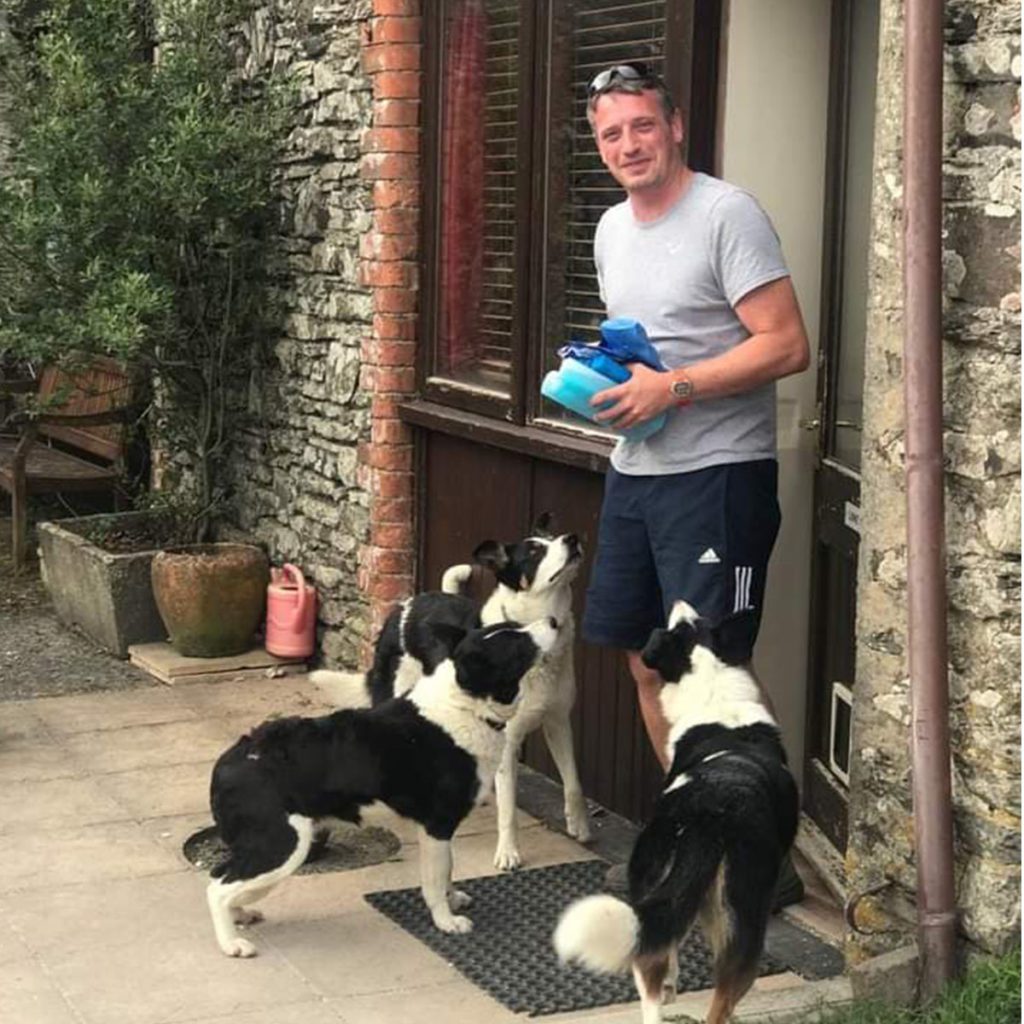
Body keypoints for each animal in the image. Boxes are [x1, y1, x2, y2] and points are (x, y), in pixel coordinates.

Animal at [205, 614, 561, 958]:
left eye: (513, 625)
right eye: (517, 644)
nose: (555, 621)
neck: (464, 705)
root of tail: (230, 761)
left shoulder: (439, 831)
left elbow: (447, 870)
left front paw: (452, 900)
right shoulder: (437, 826)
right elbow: (435, 880)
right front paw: (445, 921)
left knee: (223, 877)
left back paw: (239, 916)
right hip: (284, 844)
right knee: (217, 888)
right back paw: (231, 943)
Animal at [315, 512, 598, 872]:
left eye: (553, 537)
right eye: (534, 551)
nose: (572, 539)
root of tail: (405, 605)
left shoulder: (558, 722)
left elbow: (573, 783)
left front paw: (580, 825)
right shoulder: (509, 740)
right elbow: (509, 810)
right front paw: (508, 852)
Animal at [552, 598, 798, 1024]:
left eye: (696, 621)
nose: (681, 600)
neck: (714, 692)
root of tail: (708, 812)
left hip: (651, 878)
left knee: (648, 968)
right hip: (746, 919)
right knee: (722, 998)